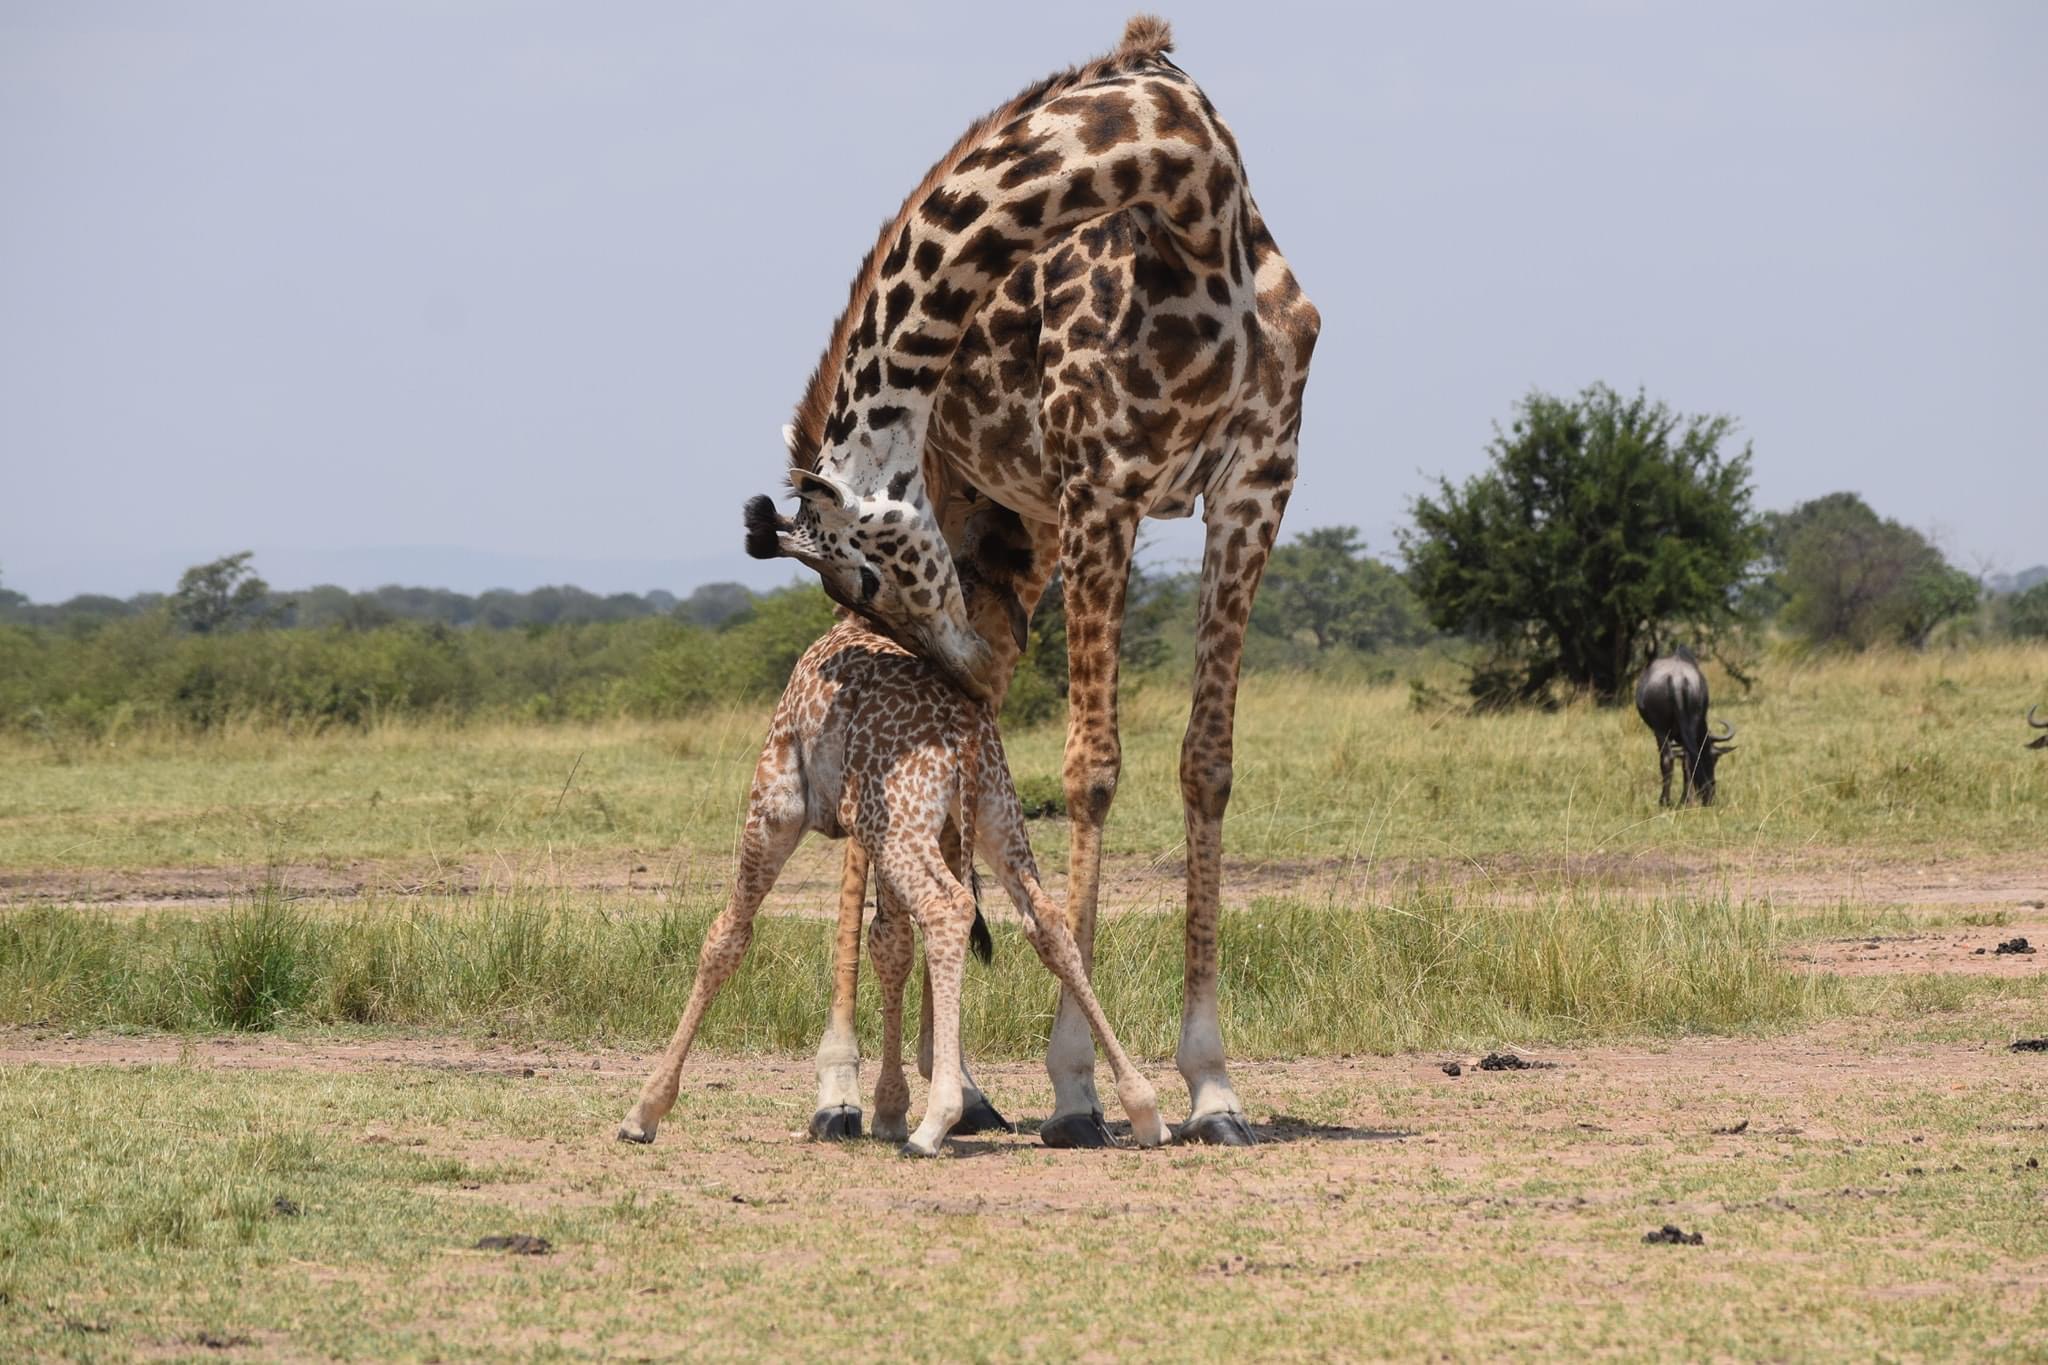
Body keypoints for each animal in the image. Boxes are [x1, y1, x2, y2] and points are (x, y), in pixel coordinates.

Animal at [616, 613, 1168, 1156]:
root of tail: (964, 731)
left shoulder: (776, 806)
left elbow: (726, 937)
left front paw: (644, 1111)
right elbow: (890, 945)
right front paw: (887, 1110)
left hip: (899, 824)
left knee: (948, 907)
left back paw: (936, 1122)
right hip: (993, 811)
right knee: (1045, 921)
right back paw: (1142, 1109)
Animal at [749, 16, 1319, 1147]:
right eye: (858, 584)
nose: (960, 666)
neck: (1195, 200)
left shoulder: (1255, 480)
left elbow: (1206, 765)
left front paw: (1213, 1085)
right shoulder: (1105, 482)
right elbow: (1092, 769)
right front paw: (1077, 1086)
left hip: (1016, 551)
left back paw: (960, 1092)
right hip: (1010, 537)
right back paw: (843, 1090)